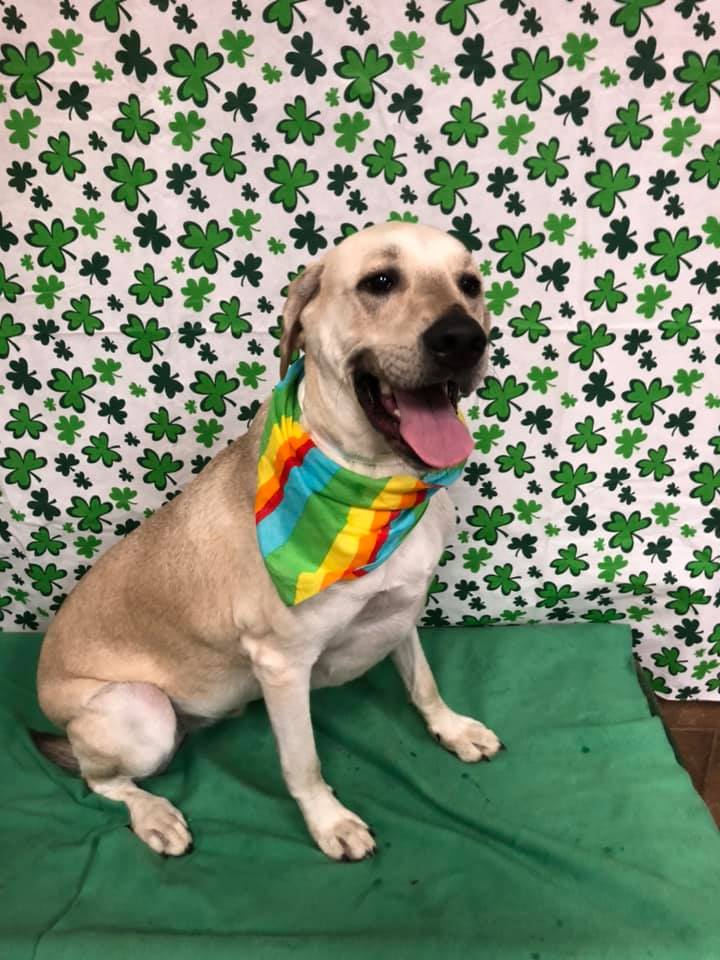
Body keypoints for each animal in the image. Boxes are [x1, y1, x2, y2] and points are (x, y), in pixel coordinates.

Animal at [34, 221, 501, 861]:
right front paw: (329, 822)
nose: (464, 339)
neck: (374, 487)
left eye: (470, 284)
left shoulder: (401, 610)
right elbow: (303, 762)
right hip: (141, 712)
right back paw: (153, 814)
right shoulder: (282, 666)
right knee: (100, 779)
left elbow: (423, 684)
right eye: (380, 281)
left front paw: (450, 728)